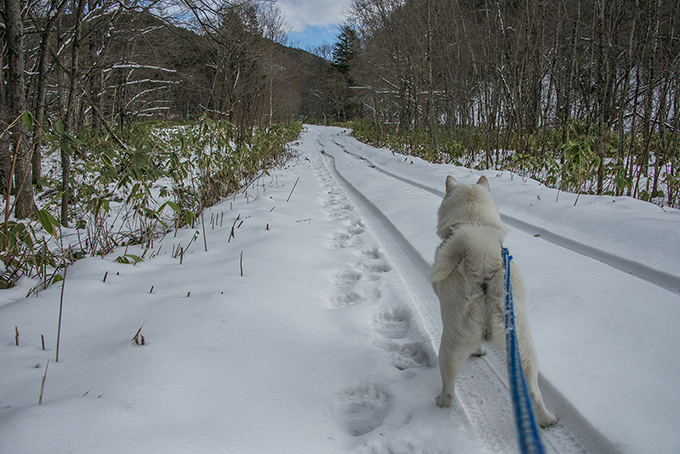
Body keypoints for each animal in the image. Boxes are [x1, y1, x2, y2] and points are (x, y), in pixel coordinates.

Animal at [432, 174, 556, 426]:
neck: (474, 221)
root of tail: (483, 267)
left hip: (450, 346)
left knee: (449, 388)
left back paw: (441, 402)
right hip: (523, 348)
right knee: (533, 390)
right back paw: (546, 420)